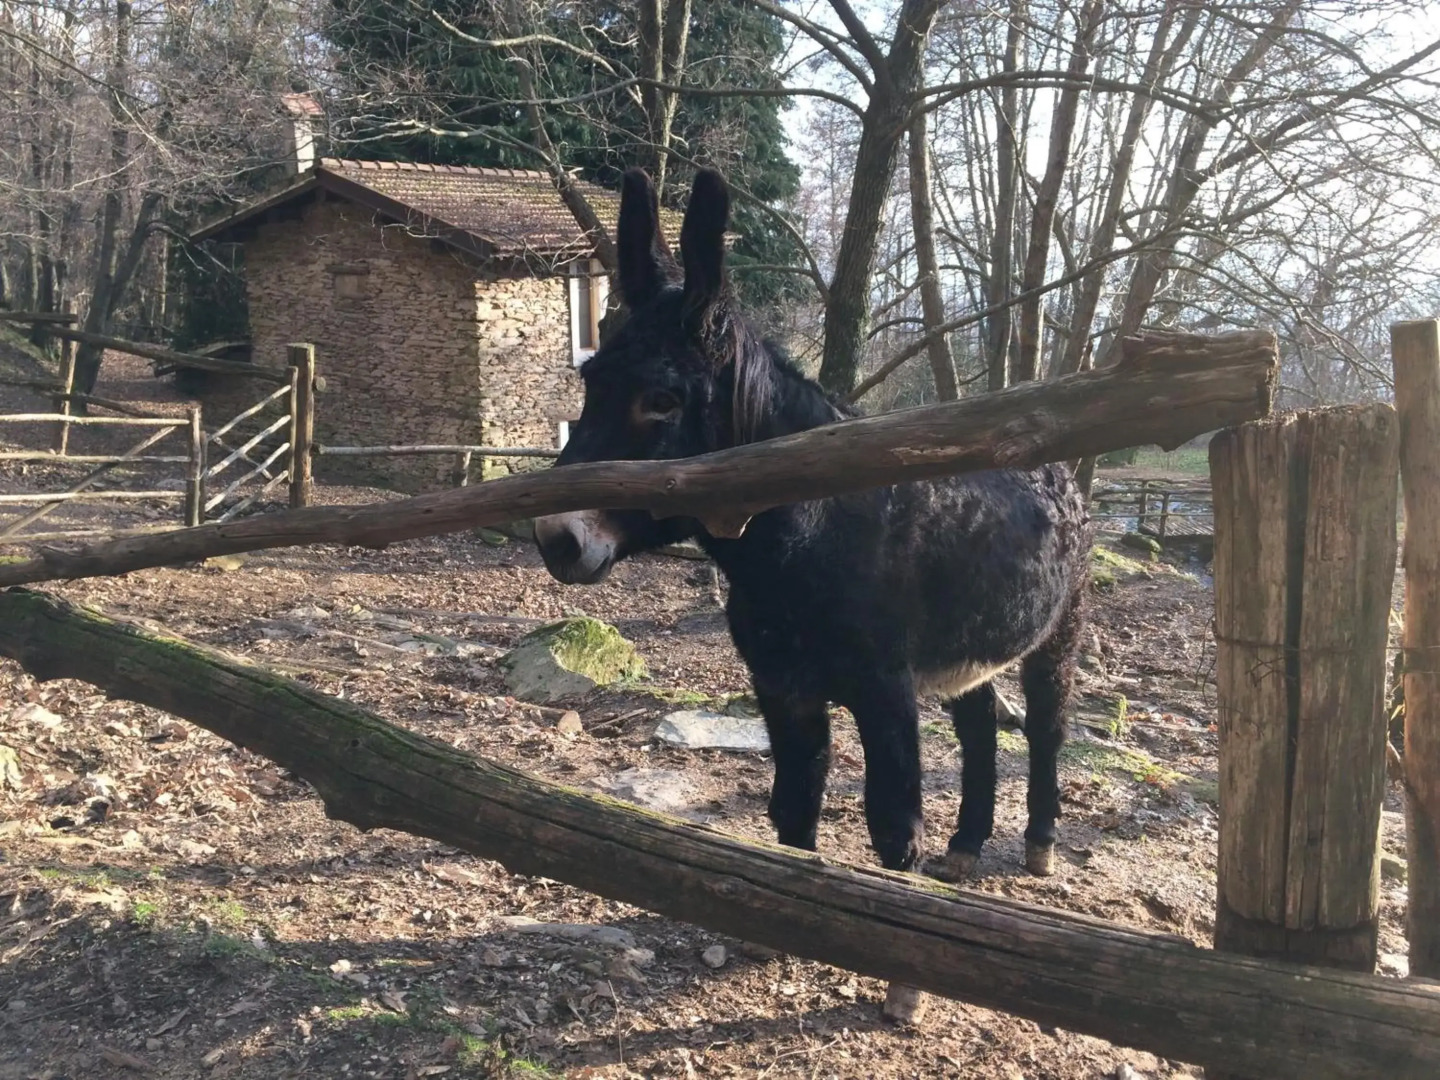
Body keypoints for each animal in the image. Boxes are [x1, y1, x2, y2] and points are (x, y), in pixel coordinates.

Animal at [534, 167, 1091, 880]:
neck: (799, 542)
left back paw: (1039, 842)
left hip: (1059, 628)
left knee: (1048, 722)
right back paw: (967, 845)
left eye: (661, 401)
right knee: (980, 719)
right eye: (591, 381)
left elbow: (894, 829)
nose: (555, 537)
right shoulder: (782, 688)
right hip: (971, 641)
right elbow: (793, 809)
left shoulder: (885, 692)